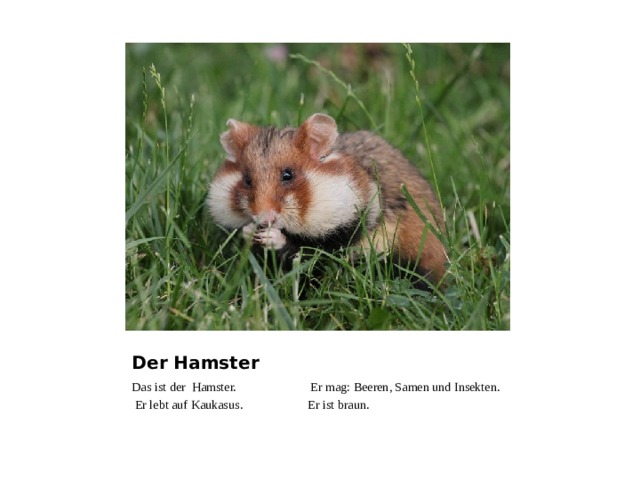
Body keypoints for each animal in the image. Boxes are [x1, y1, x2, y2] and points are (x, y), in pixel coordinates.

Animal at [207, 113, 447, 283]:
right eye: (247, 180)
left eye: (288, 175)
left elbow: (310, 252)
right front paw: (249, 231)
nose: (264, 219)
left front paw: (271, 237)